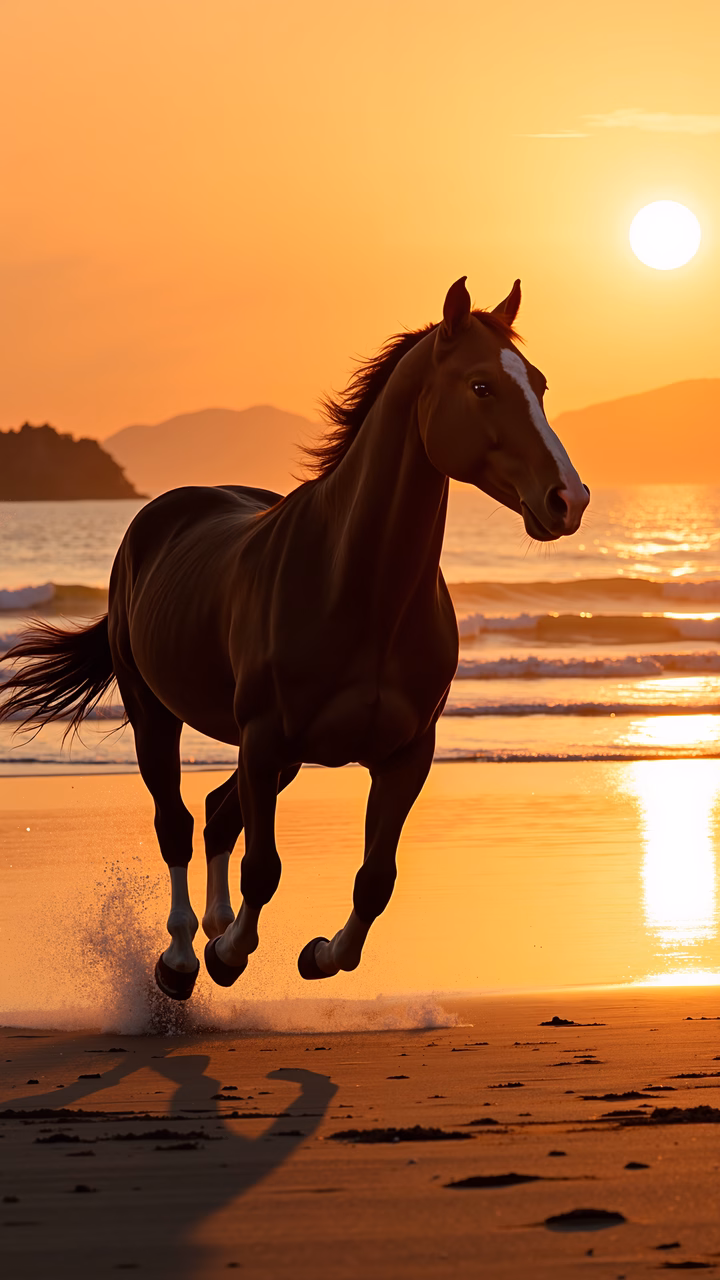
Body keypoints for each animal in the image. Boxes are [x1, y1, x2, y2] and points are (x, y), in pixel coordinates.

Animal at [0, 277, 589, 1001]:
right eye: (481, 386)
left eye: (538, 383)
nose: (568, 498)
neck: (359, 592)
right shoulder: (263, 738)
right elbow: (264, 868)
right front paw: (226, 955)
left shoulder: (405, 755)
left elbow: (374, 881)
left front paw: (316, 954)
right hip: (158, 716)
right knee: (178, 823)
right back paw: (181, 957)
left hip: (279, 761)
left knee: (219, 813)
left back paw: (212, 927)